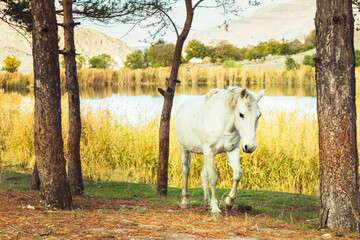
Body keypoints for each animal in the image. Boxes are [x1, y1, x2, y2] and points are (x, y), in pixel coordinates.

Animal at [174, 86, 264, 216]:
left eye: (259, 115)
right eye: (241, 114)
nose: (250, 147)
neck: (223, 123)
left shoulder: (232, 150)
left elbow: (237, 174)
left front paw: (228, 202)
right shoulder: (209, 151)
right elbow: (213, 179)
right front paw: (216, 209)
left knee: (203, 175)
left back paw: (207, 204)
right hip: (184, 149)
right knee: (186, 171)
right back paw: (185, 202)